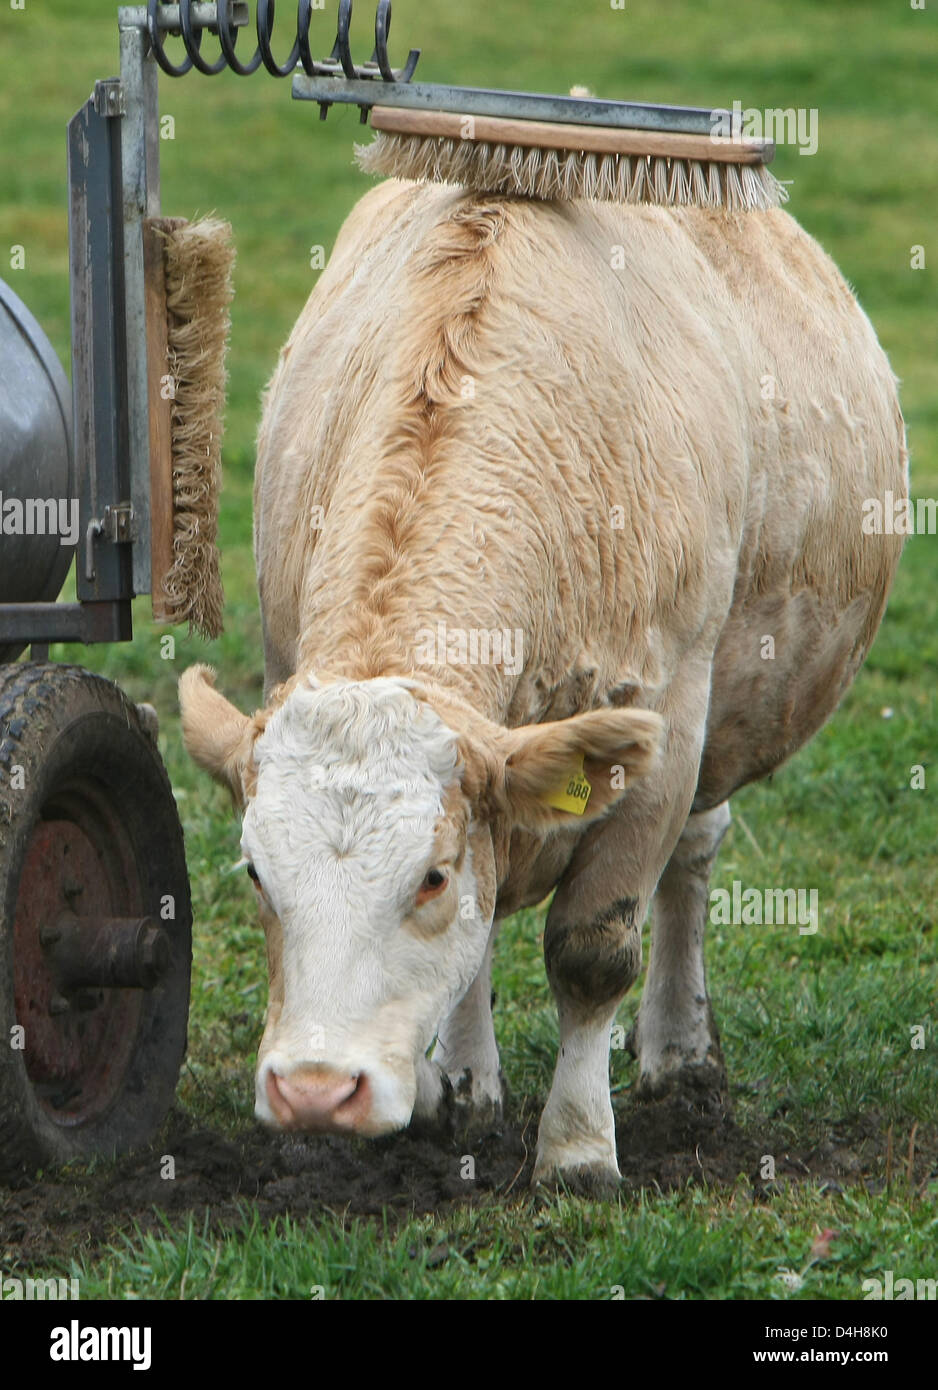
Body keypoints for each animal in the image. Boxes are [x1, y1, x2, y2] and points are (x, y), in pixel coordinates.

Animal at [180, 179, 906, 1192]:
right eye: (255, 871)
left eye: (431, 876)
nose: (317, 1090)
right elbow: (480, 932)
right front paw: (457, 1090)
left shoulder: (665, 732)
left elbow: (592, 953)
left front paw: (578, 1147)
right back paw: (470, 1080)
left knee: (694, 857)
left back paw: (681, 1058)